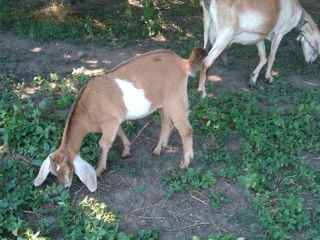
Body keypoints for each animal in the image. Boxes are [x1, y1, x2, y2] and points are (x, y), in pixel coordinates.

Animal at [33, 47, 206, 192]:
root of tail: (183, 63)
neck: (88, 109)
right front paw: (127, 150)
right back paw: (158, 149)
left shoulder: (110, 123)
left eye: (68, 169)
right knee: (166, 123)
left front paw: (99, 169)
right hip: (163, 102)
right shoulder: (114, 121)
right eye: (53, 173)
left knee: (186, 130)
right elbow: (120, 132)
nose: (64, 186)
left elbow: (104, 143)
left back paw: (186, 162)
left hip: (175, 98)